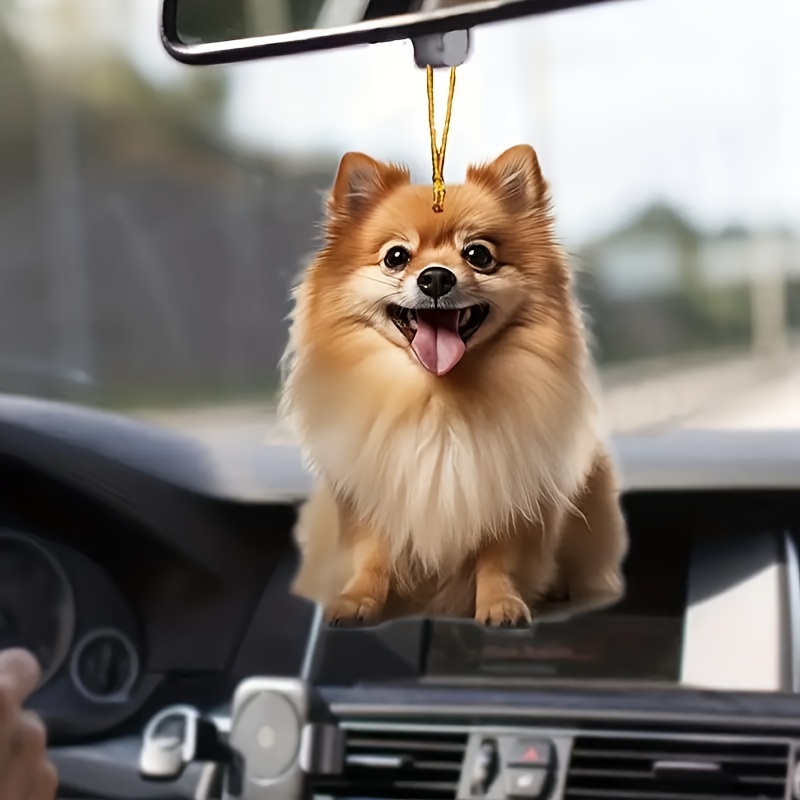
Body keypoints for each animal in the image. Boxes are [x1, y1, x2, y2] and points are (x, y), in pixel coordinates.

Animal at [280, 147, 624, 628]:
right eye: (396, 256)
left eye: (478, 254)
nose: (437, 277)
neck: (438, 398)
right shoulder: (373, 490)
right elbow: (372, 553)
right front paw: (357, 601)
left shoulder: (505, 492)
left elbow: (498, 559)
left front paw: (500, 603)